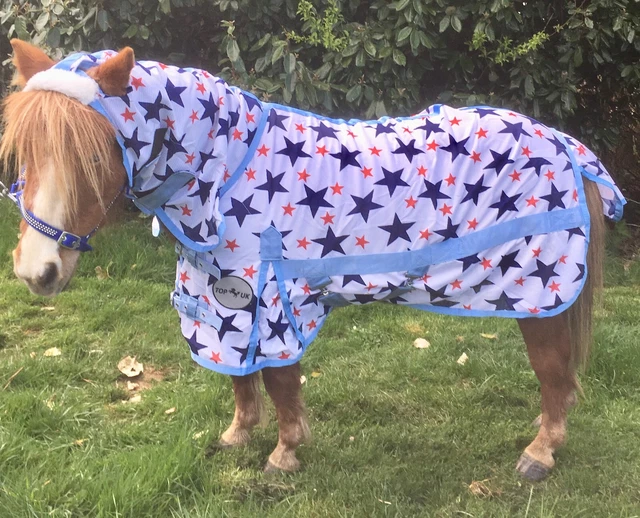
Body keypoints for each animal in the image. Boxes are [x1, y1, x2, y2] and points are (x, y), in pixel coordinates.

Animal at [0, 39, 625, 481]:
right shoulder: (225, 303)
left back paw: (540, 453)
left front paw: (284, 454)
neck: (229, 172)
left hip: (538, 296)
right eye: (24, 152)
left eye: (93, 155)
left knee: (553, 374)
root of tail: (567, 147)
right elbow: (241, 377)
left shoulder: (270, 298)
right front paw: (238, 436)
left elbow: (280, 381)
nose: (37, 271)